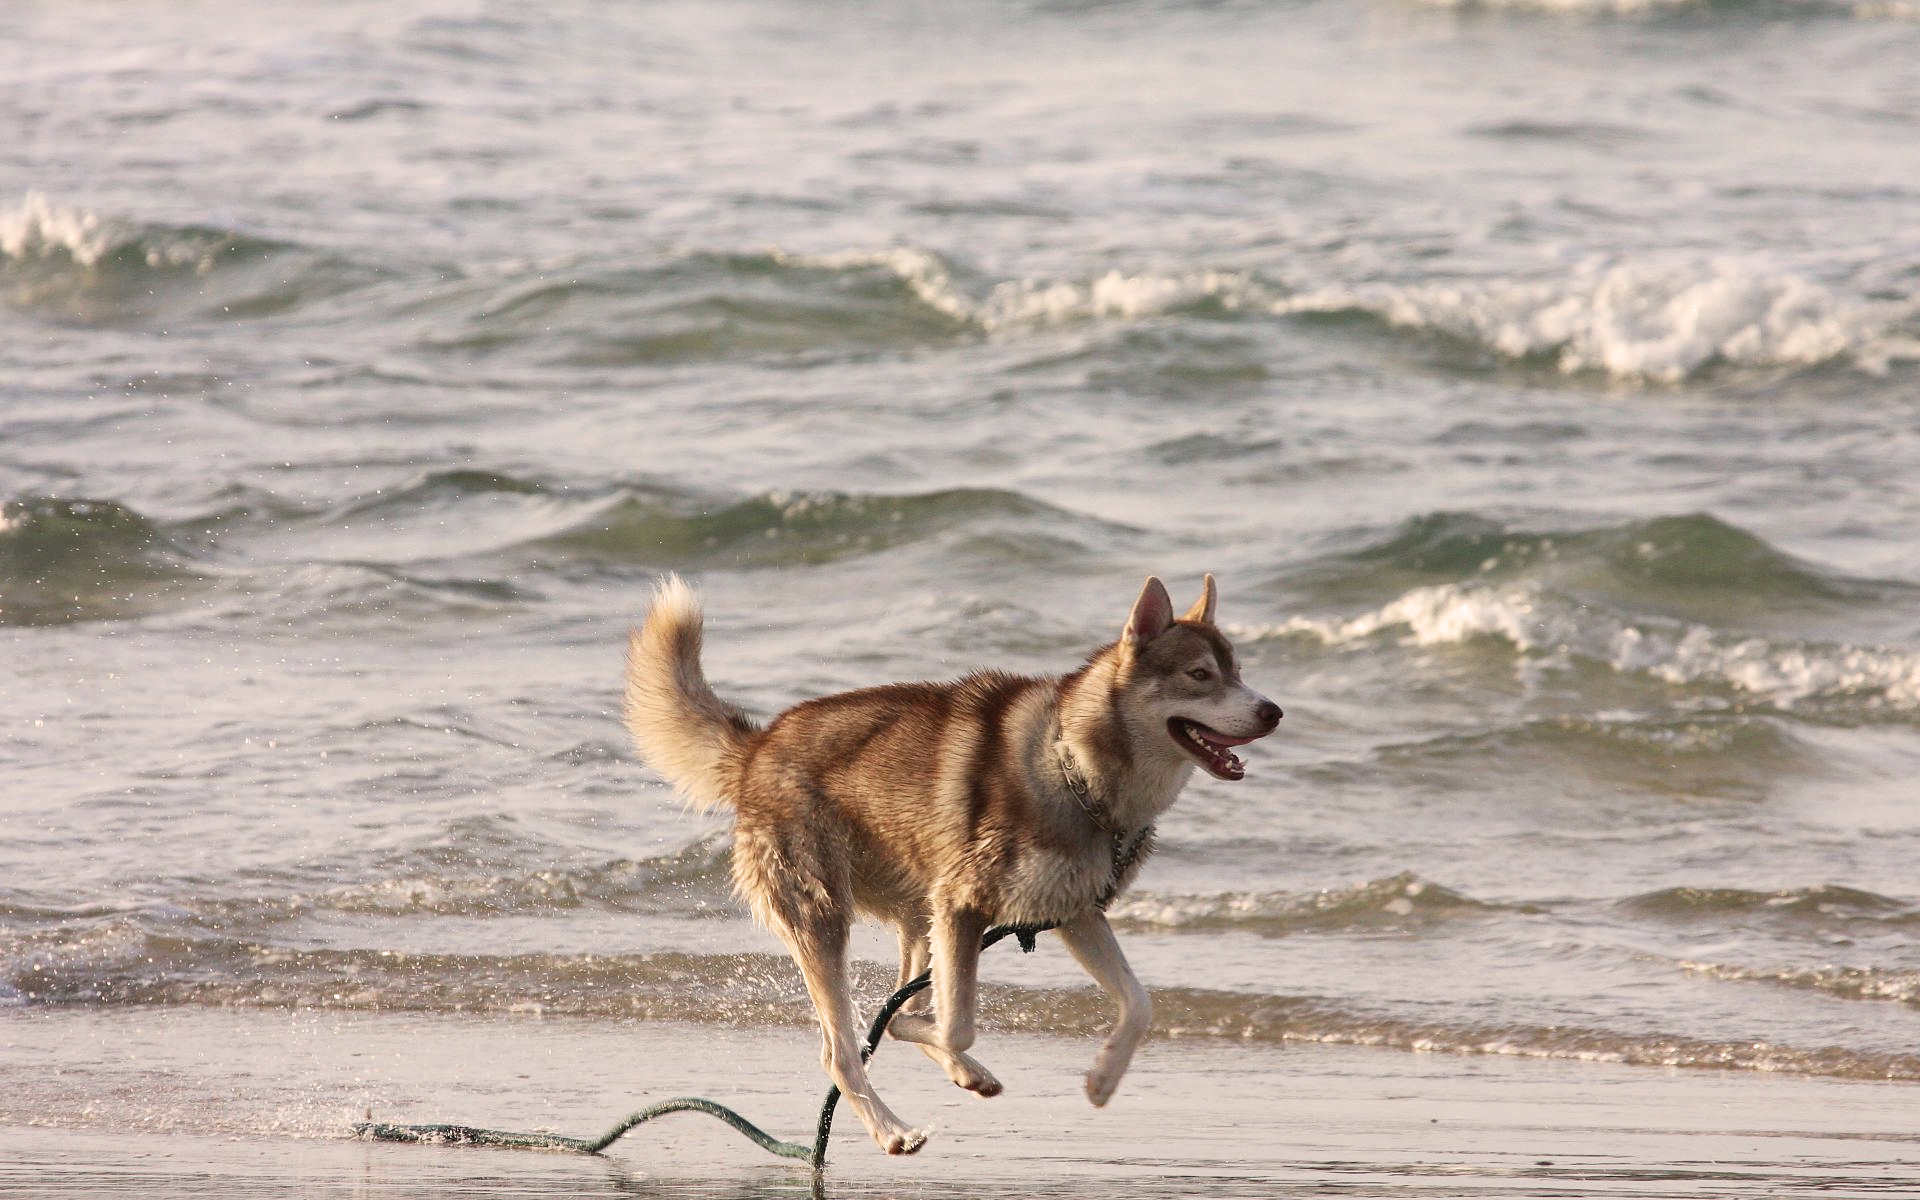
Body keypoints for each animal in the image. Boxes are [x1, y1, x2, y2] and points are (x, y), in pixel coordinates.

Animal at [625, 576, 1274, 1159]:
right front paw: (952, 1047)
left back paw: (956, 1072)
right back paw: (893, 1129)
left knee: (899, 1006)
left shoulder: (1073, 912)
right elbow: (951, 1023)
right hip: (829, 916)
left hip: (919, 912)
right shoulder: (965, 903)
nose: (1274, 711)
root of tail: (758, 748)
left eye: (1239, 671)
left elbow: (1139, 1005)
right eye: (1200, 676)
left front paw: (1103, 1078)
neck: (1074, 769)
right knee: (844, 1050)